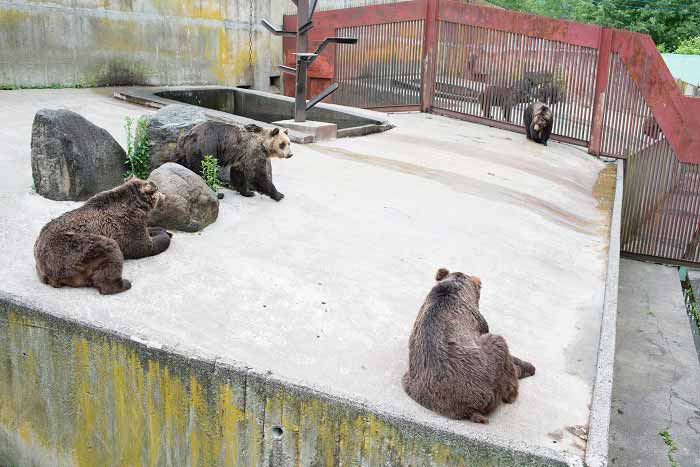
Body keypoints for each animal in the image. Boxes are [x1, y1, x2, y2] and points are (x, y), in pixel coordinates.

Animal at [34, 177, 172, 294]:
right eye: (158, 189)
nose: (164, 194)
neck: (138, 206)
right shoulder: (127, 224)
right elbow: (143, 246)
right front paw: (165, 236)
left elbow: (148, 230)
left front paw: (164, 230)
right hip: (74, 249)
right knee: (110, 253)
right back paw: (124, 284)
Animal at [400, 266, 536, 424]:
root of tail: (469, 408)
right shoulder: (480, 325)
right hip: (487, 370)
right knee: (502, 356)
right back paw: (522, 376)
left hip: (414, 384)